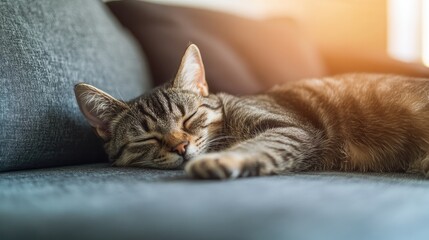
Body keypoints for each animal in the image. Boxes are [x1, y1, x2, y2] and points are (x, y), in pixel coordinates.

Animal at [75, 44, 428, 179]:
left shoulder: (290, 129)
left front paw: (220, 160)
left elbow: (257, 145)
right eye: (146, 138)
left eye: (188, 118)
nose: (181, 146)